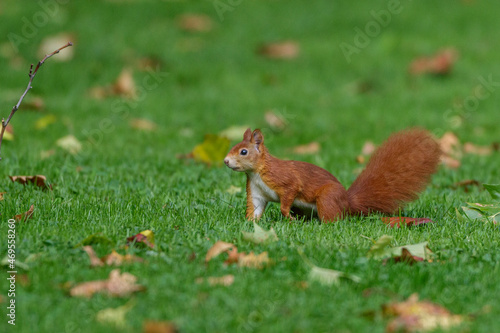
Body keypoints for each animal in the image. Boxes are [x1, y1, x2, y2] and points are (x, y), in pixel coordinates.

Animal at [225, 128, 440, 222]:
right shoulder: (256, 191)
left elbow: (289, 193)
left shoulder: (284, 180)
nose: (226, 161)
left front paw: (286, 217)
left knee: (333, 218)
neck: (257, 173)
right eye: (233, 147)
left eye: (243, 151)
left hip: (327, 197)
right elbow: (255, 207)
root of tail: (348, 202)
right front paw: (249, 223)